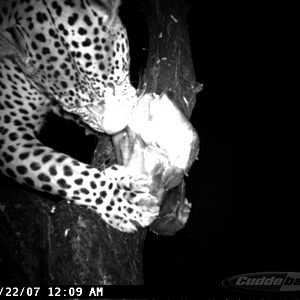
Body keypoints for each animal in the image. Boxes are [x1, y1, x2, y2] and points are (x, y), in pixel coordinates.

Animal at [0, 0, 162, 233]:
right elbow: (71, 176)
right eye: (77, 105)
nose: (118, 128)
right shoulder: (9, 137)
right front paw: (124, 202)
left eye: (115, 84)